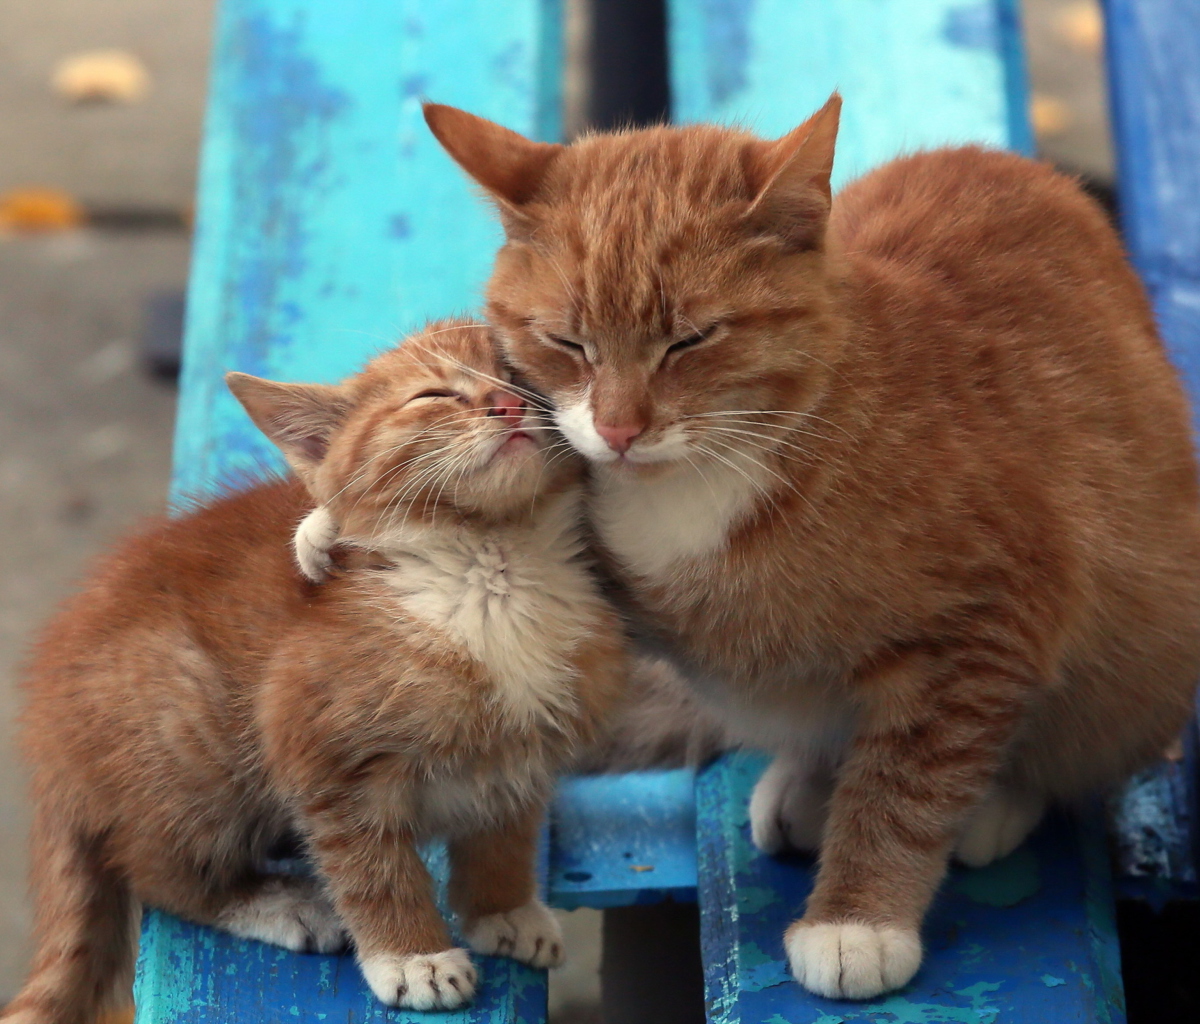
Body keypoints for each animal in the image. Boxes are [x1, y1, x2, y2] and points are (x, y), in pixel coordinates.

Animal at [9, 321, 624, 1022]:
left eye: (520, 375)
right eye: (434, 395)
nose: (507, 404)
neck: (493, 567)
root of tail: (47, 738)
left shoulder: (525, 750)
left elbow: (506, 833)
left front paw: (504, 907)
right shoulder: (317, 745)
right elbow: (372, 867)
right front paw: (412, 956)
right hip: (190, 731)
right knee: (154, 868)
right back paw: (280, 902)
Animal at [417, 99, 1200, 993]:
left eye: (691, 341)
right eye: (568, 343)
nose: (618, 431)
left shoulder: (987, 630)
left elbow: (908, 783)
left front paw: (858, 919)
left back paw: (989, 803)